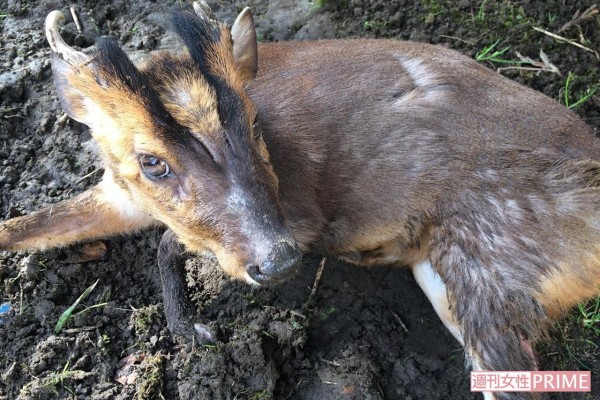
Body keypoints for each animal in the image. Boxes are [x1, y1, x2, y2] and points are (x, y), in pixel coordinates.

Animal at [1, 1, 600, 398]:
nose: (278, 260)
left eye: (254, 122)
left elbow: (168, 244)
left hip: (489, 259)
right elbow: (25, 226)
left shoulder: (306, 217)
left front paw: (191, 332)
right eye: (152, 162)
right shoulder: (118, 192)